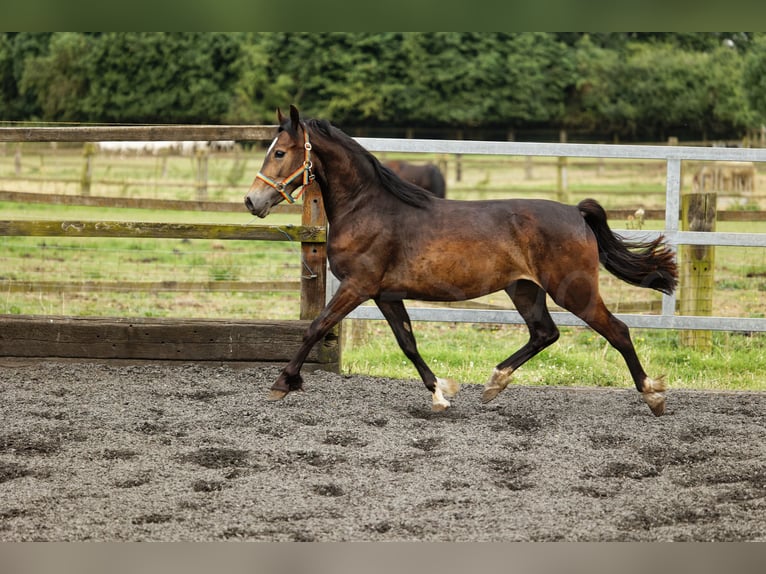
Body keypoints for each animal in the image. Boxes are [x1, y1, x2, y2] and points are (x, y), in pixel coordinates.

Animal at [245, 105, 678, 416]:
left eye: (280, 152)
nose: (252, 201)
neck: (368, 207)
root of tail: (576, 212)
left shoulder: (357, 286)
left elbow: (315, 328)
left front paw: (282, 384)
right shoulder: (385, 294)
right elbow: (408, 343)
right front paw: (440, 393)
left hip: (574, 290)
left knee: (617, 331)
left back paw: (653, 396)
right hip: (524, 289)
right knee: (544, 333)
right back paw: (494, 383)